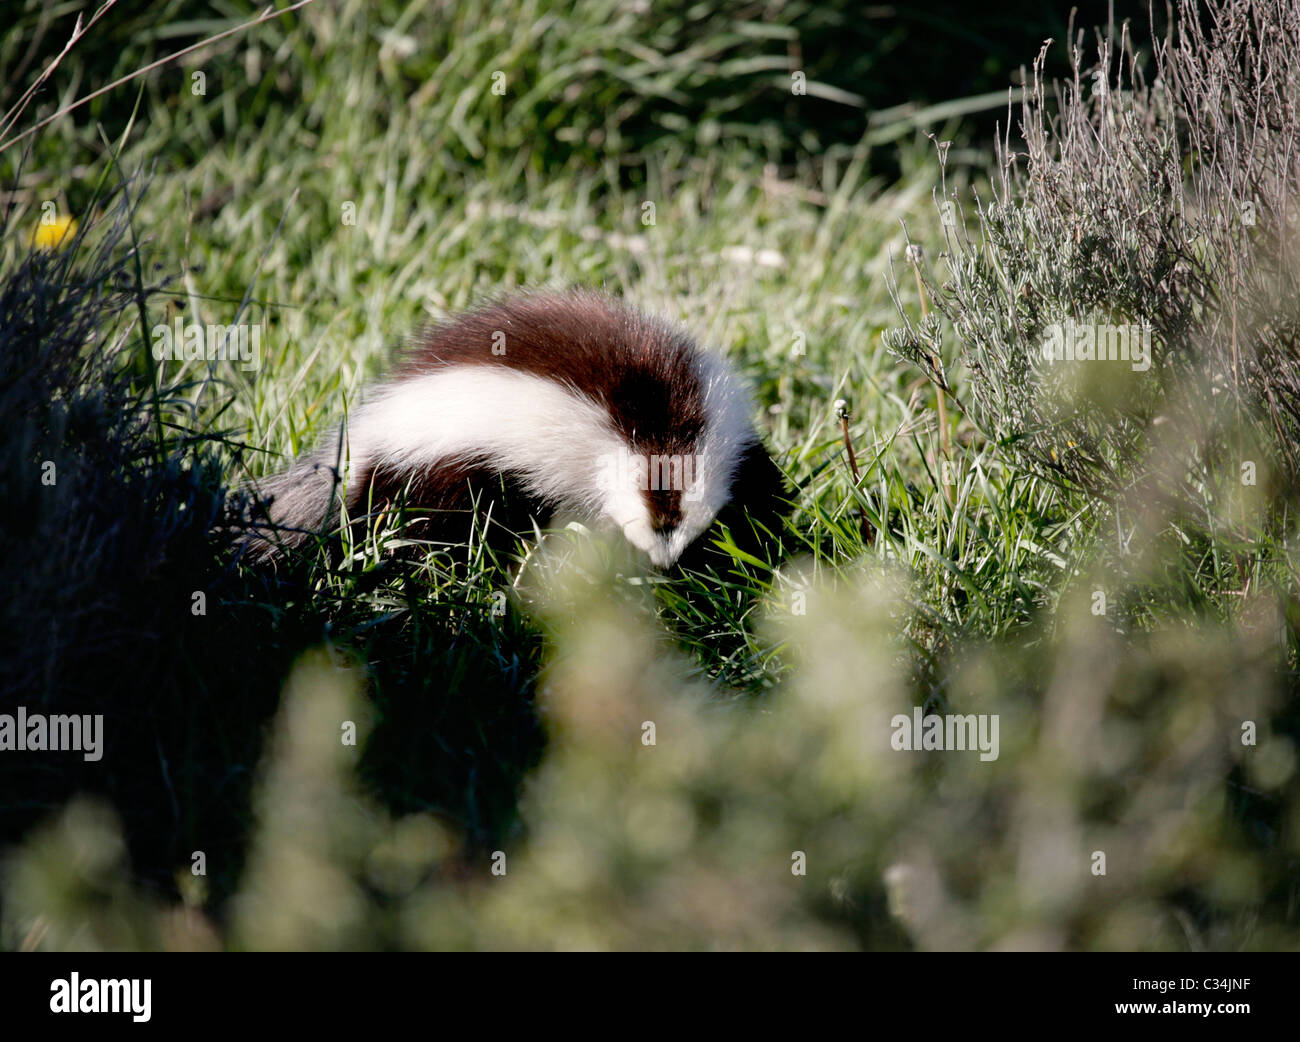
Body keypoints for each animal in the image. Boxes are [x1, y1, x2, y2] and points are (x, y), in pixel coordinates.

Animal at [244, 285, 790, 569]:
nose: (663, 565)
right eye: (648, 523)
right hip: (442, 471)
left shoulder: (738, 440)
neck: (661, 424)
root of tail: (367, 434)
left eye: (685, 525)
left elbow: (762, 494)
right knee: (429, 526)